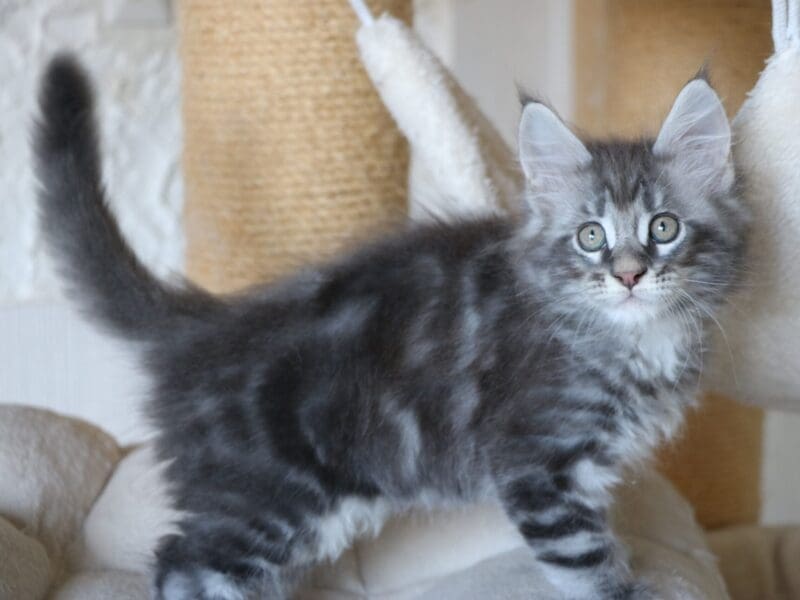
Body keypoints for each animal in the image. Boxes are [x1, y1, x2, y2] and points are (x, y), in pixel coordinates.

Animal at [36, 56, 752, 600]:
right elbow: (587, 564)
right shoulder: (536, 464)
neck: (630, 339)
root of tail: (211, 321)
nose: (630, 274)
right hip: (269, 499)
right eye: (591, 237)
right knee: (182, 563)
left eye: (664, 227)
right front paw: (627, 590)